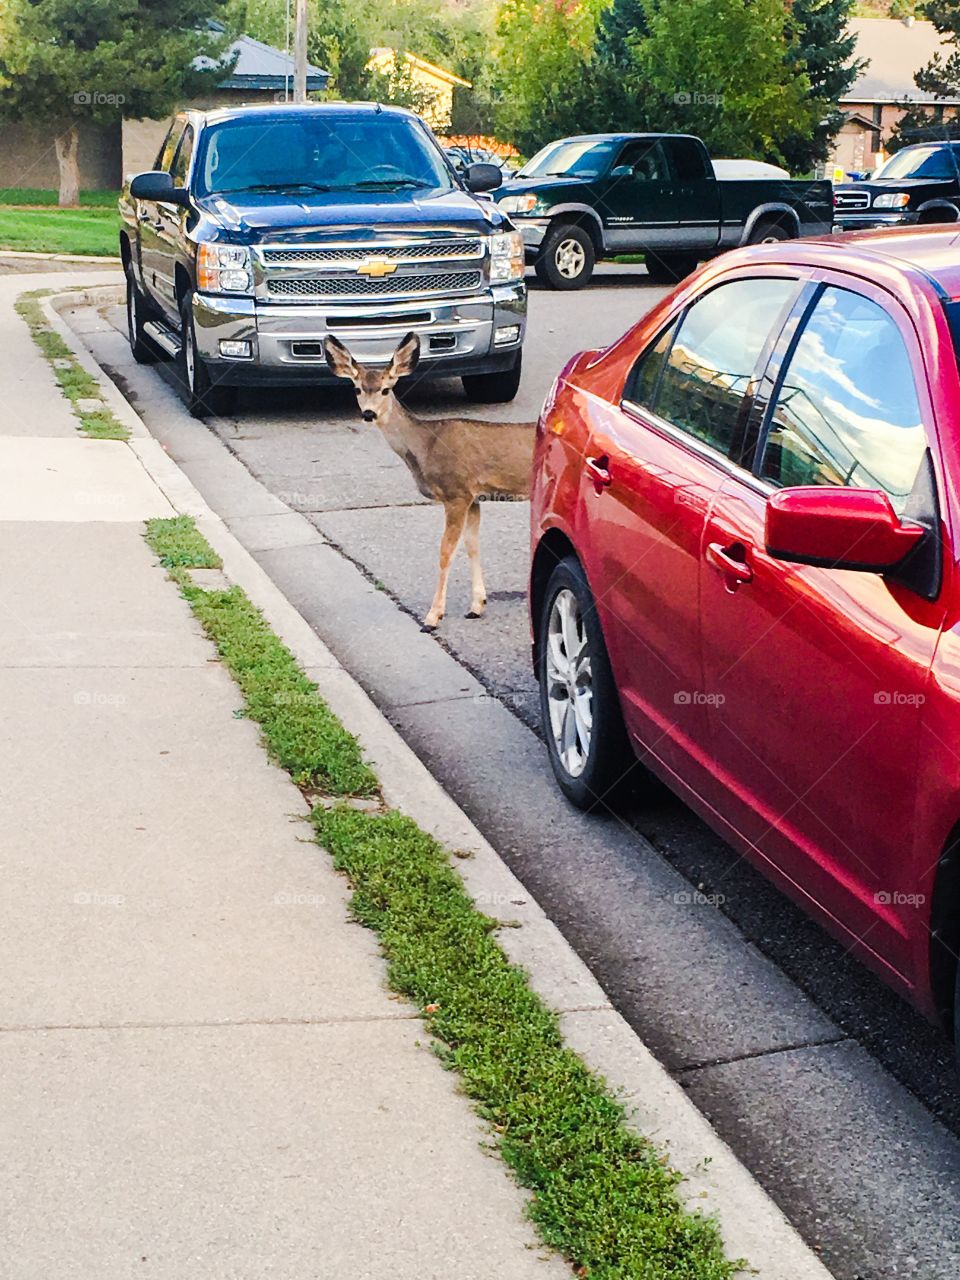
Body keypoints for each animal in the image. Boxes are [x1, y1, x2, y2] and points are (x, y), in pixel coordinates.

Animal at [325, 330, 537, 629]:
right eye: (357, 389)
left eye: (386, 389)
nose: (368, 414)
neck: (425, 444)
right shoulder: (474, 497)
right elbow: (472, 545)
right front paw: (476, 605)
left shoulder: (456, 492)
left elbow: (445, 552)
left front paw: (433, 616)